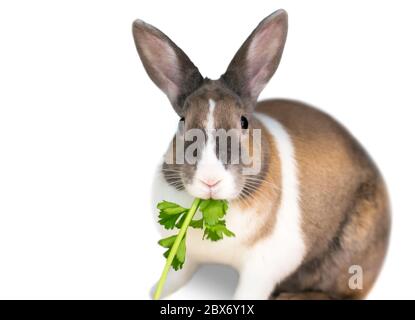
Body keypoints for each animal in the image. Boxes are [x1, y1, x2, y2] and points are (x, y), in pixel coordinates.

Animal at [132, 9, 390, 300]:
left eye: (244, 121)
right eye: (182, 121)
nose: (210, 180)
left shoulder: (265, 266)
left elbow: (249, 290)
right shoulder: (186, 256)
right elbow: (178, 274)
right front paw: (156, 291)